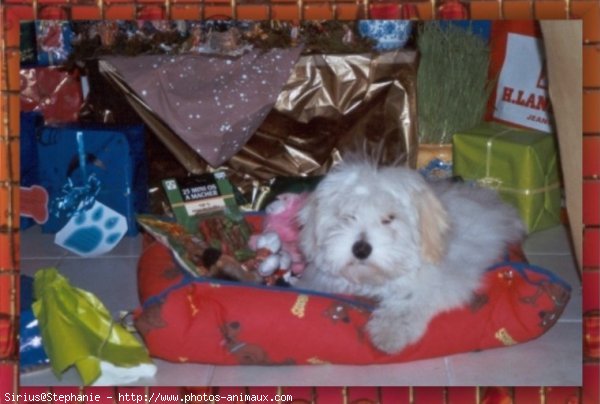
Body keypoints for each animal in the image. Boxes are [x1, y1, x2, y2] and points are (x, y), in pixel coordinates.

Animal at [298, 159, 524, 352]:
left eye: (389, 219)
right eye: (347, 216)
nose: (361, 249)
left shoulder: (444, 279)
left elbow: (409, 301)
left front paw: (389, 333)